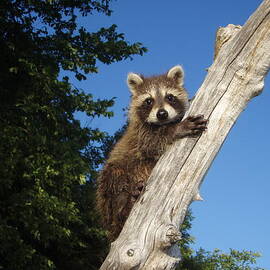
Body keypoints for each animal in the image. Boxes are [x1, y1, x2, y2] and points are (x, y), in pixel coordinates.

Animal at [96, 65, 208, 240]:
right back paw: (125, 205)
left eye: (170, 97)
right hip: (107, 194)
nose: (162, 114)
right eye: (149, 101)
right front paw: (177, 128)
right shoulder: (141, 134)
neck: (162, 123)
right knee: (114, 177)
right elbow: (152, 143)